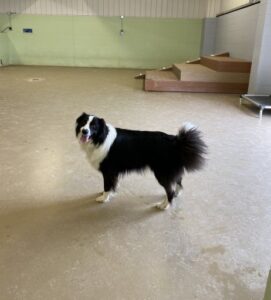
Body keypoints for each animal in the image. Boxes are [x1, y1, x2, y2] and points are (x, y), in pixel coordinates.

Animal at [75, 113, 207, 210]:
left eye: (93, 126)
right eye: (83, 123)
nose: (84, 131)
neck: (100, 138)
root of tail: (175, 142)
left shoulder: (108, 170)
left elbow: (107, 186)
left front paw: (103, 198)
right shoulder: (113, 172)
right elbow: (113, 184)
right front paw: (109, 193)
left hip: (162, 173)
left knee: (170, 190)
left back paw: (164, 205)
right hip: (170, 170)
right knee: (178, 182)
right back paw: (175, 195)